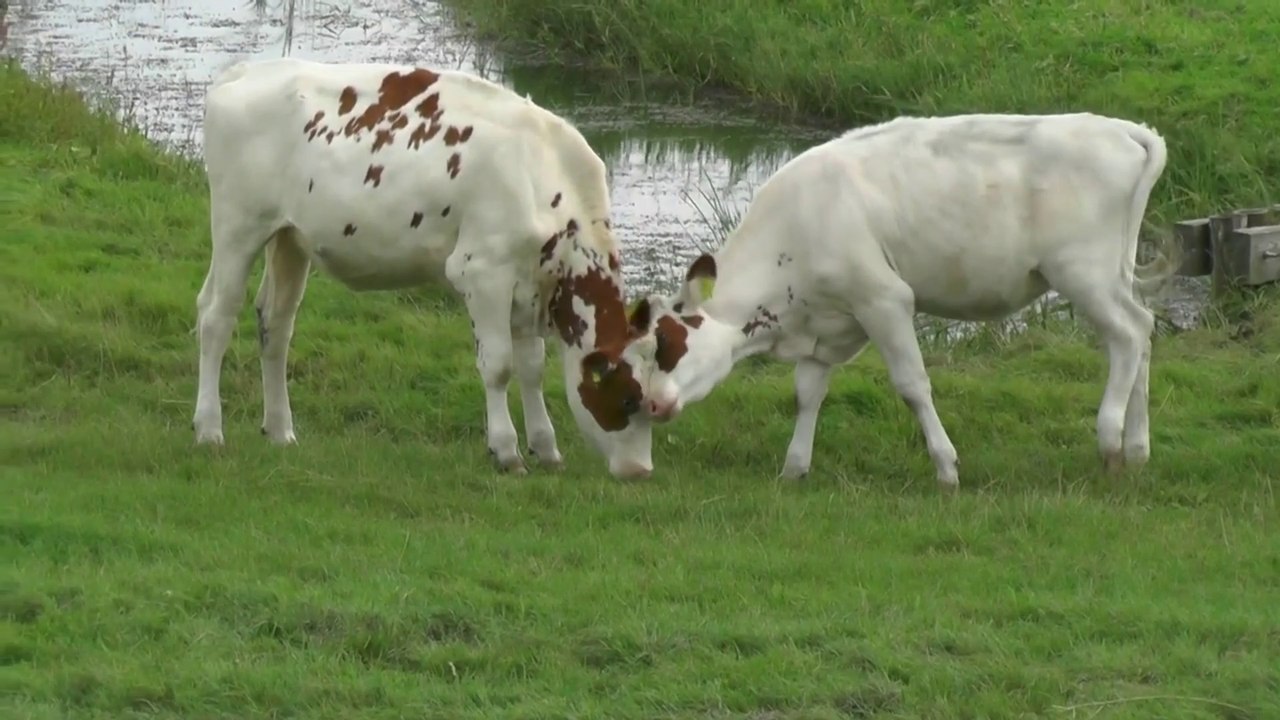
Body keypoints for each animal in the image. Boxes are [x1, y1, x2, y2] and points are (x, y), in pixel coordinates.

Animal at [192, 58, 676, 479]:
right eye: (629, 400)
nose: (640, 471)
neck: (540, 175)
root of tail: (245, 70)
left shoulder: (530, 283)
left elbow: (532, 367)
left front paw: (546, 448)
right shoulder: (483, 271)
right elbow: (499, 365)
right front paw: (507, 451)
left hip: (291, 238)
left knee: (275, 325)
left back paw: (280, 431)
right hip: (238, 225)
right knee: (216, 317)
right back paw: (210, 430)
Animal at [620, 112, 1174, 489]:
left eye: (668, 343)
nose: (651, 403)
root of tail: (1124, 130)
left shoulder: (883, 299)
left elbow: (912, 385)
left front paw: (947, 468)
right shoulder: (828, 322)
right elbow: (807, 393)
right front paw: (794, 468)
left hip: (1082, 270)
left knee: (1127, 336)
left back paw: (1110, 442)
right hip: (1114, 272)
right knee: (1143, 331)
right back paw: (1138, 447)